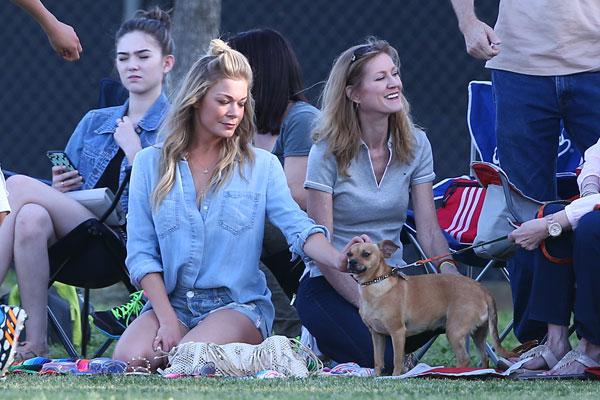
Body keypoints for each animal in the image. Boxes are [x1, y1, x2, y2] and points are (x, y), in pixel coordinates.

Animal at [346, 241, 516, 376]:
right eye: (349, 254)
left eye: (366, 254)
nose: (351, 262)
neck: (375, 284)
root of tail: (483, 290)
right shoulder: (377, 335)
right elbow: (378, 360)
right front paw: (376, 376)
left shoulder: (397, 333)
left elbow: (397, 360)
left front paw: (394, 377)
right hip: (478, 334)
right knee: (484, 358)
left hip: (454, 332)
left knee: (465, 359)